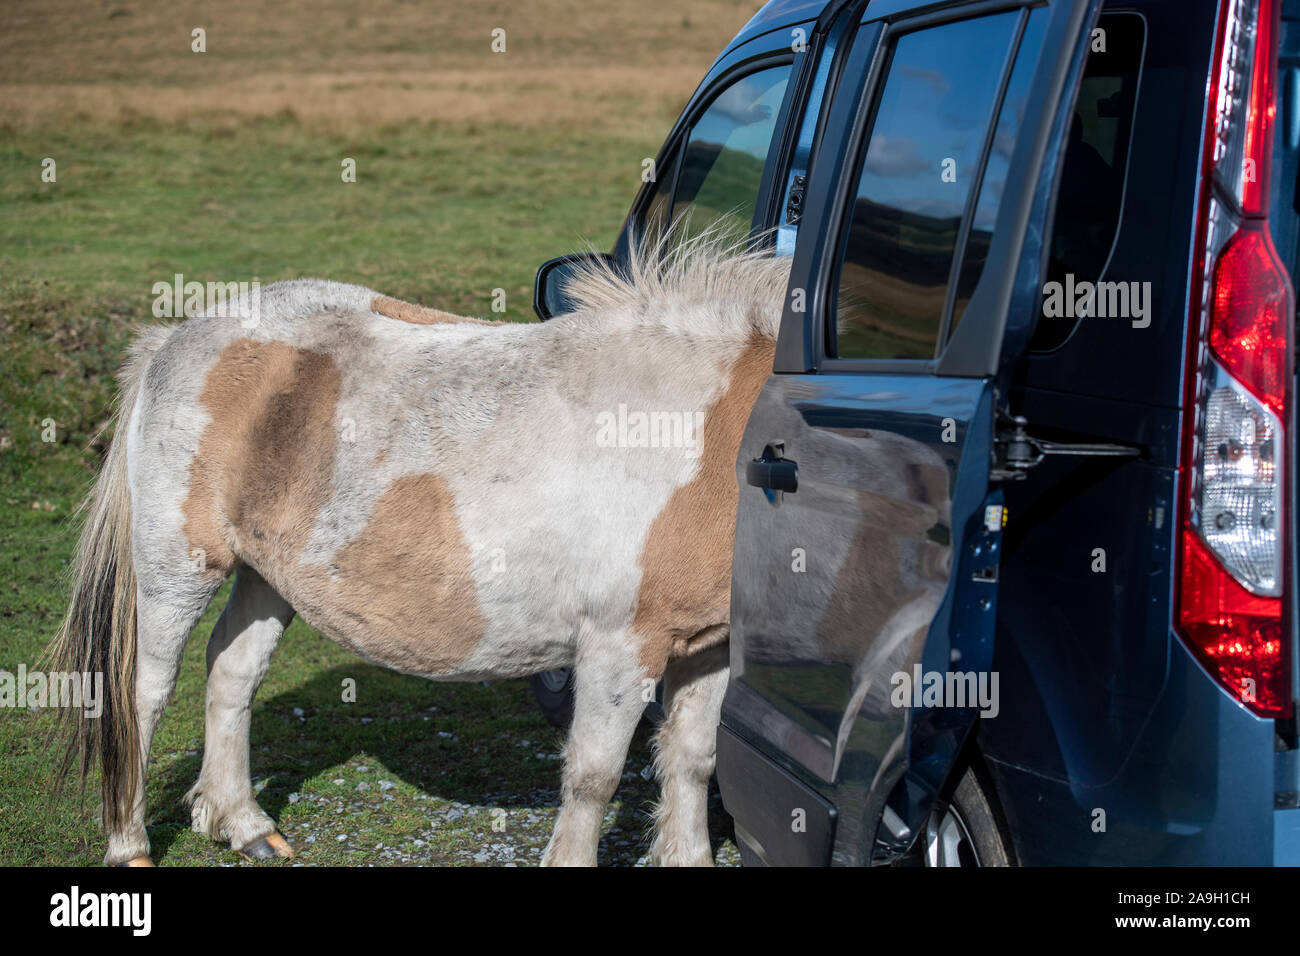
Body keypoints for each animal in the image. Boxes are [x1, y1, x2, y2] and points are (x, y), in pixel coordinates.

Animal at [48, 230, 790, 868]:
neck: (708, 432)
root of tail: (173, 337)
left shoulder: (708, 646)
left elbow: (691, 761)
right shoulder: (619, 644)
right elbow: (594, 778)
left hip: (268, 575)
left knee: (233, 672)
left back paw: (243, 823)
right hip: (178, 567)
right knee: (142, 693)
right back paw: (129, 843)